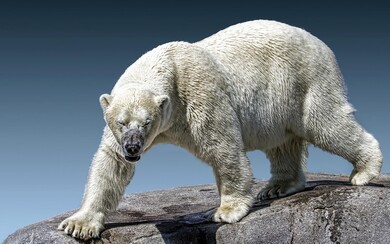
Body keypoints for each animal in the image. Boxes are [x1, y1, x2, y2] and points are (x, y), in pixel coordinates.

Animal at [58, 19, 384, 240]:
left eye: (147, 122)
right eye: (121, 122)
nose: (133, 147)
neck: (168, 66)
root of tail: (323, 45)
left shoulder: (200, 94)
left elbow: (223, 148)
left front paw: (227, 211)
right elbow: (110, 164)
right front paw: (79, 223)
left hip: (306, 80)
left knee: (325, 124)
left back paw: (364, 170)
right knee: (281, 142)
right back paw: (278, 186)